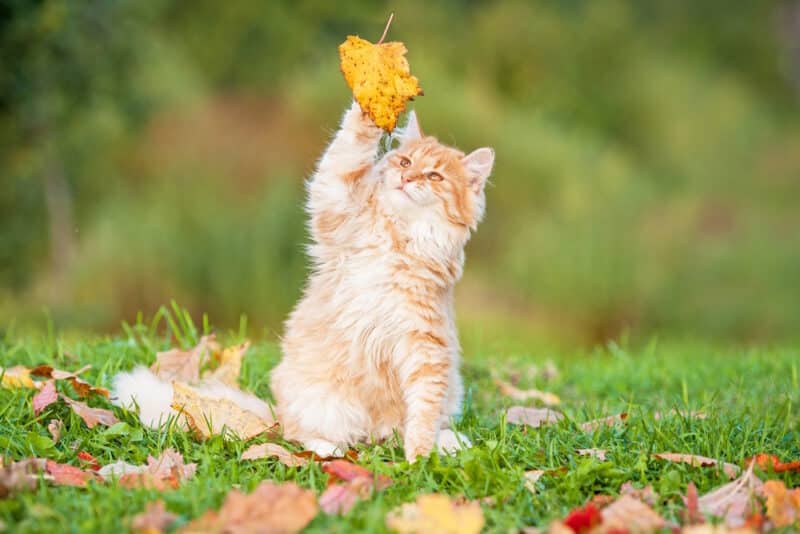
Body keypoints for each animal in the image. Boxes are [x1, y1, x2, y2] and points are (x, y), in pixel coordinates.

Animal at [270, 102, 494, 462]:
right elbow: (348, 150)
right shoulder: (336, 200)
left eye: (434, 176)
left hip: (451, 391)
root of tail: (373, 434)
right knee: (297, 433)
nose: (406, 178)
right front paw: (372, 106)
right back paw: (327, 448)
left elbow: (424, 412)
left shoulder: (426, 343)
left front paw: (419, 457)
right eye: (405, 163)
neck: (399, 237)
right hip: (316, 402)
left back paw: (448, 442)